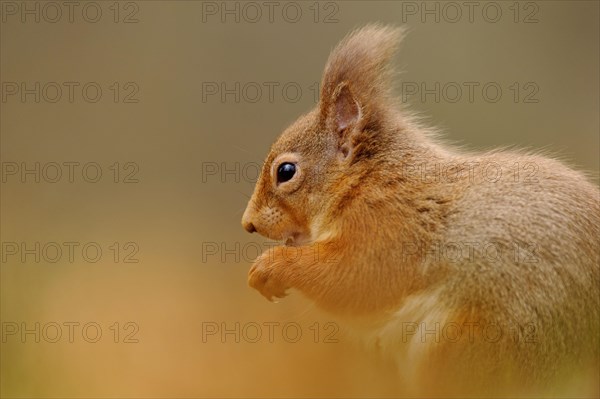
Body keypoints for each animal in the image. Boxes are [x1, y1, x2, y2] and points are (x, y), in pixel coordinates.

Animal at [240, 25, 600, 396]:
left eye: (286, 171)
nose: (247, 223)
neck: (365, 180)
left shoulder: (388, 227)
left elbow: (352, 278)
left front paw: (271, 266)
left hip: (470, 343)